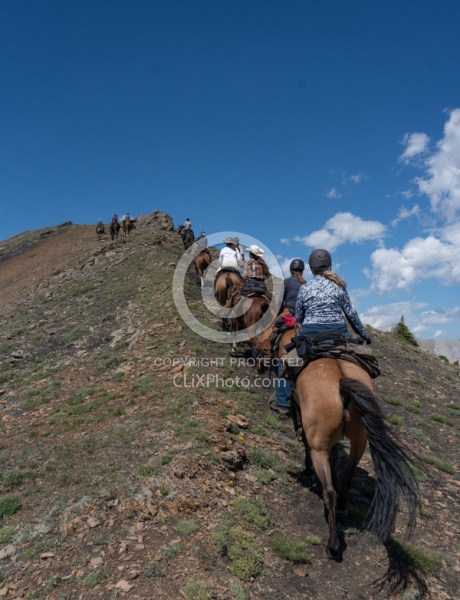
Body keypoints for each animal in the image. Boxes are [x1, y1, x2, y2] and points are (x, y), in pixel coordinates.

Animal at [292, 358, 420, 560]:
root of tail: (342, 382)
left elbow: (306, 442)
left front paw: (306, 470)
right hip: (360, 441)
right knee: (348, 476)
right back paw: (342, 504)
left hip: (319, 447)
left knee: (329, 491)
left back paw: (333, 545)